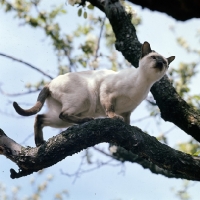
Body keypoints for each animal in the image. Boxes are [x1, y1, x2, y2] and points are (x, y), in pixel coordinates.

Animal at [13, 41, 174, 146]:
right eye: (154, 58)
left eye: (165, 63)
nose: (160, 63)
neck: (144, 83)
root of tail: (49, 83)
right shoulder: (107, 92)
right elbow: (110, 111)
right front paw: (115, 119)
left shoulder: (128, 111)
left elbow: (128, 123)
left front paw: (133, 128)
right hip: (82, 98)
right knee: (63, 114)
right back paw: (87, 120)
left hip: (63, 118)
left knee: (41, 117)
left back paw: (39, 142)